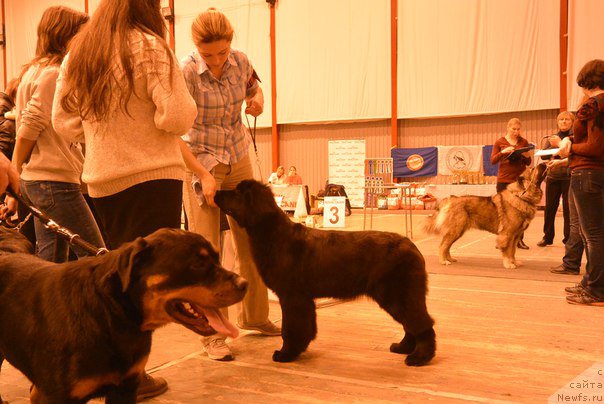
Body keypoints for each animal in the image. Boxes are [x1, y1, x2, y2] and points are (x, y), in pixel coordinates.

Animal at [0, 229, 248, 402]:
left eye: (217, 258)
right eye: (197, 264)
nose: (244, 283)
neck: (109, 316)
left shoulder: (126, 387)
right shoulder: (56, 396)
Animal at [215, 181, 436, 368]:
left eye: (238, 192)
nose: (216, 191)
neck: (274, 235)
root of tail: (412, 247)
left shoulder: (293, 296)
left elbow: (291, 328)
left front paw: (286, 353)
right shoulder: (302, 298)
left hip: (398, 295)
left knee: (421, 323)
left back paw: (419, 357)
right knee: (411, 324)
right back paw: (403, 348)